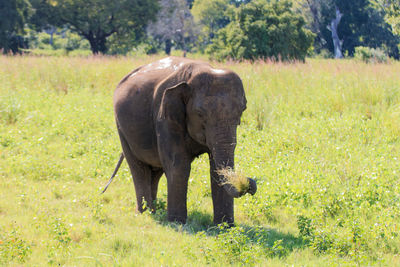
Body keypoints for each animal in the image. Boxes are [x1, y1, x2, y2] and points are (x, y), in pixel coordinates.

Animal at [106, 57, 256, 226]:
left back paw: (154, 211)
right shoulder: (165, 117)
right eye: (200, 113)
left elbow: (215, 168)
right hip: (121, 128)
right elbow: (178, 165)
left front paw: (224, 227)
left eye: (242, 111)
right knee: (138, 168)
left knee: (155, 172)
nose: (249, 185)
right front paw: (177, 223)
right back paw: (145, 213)